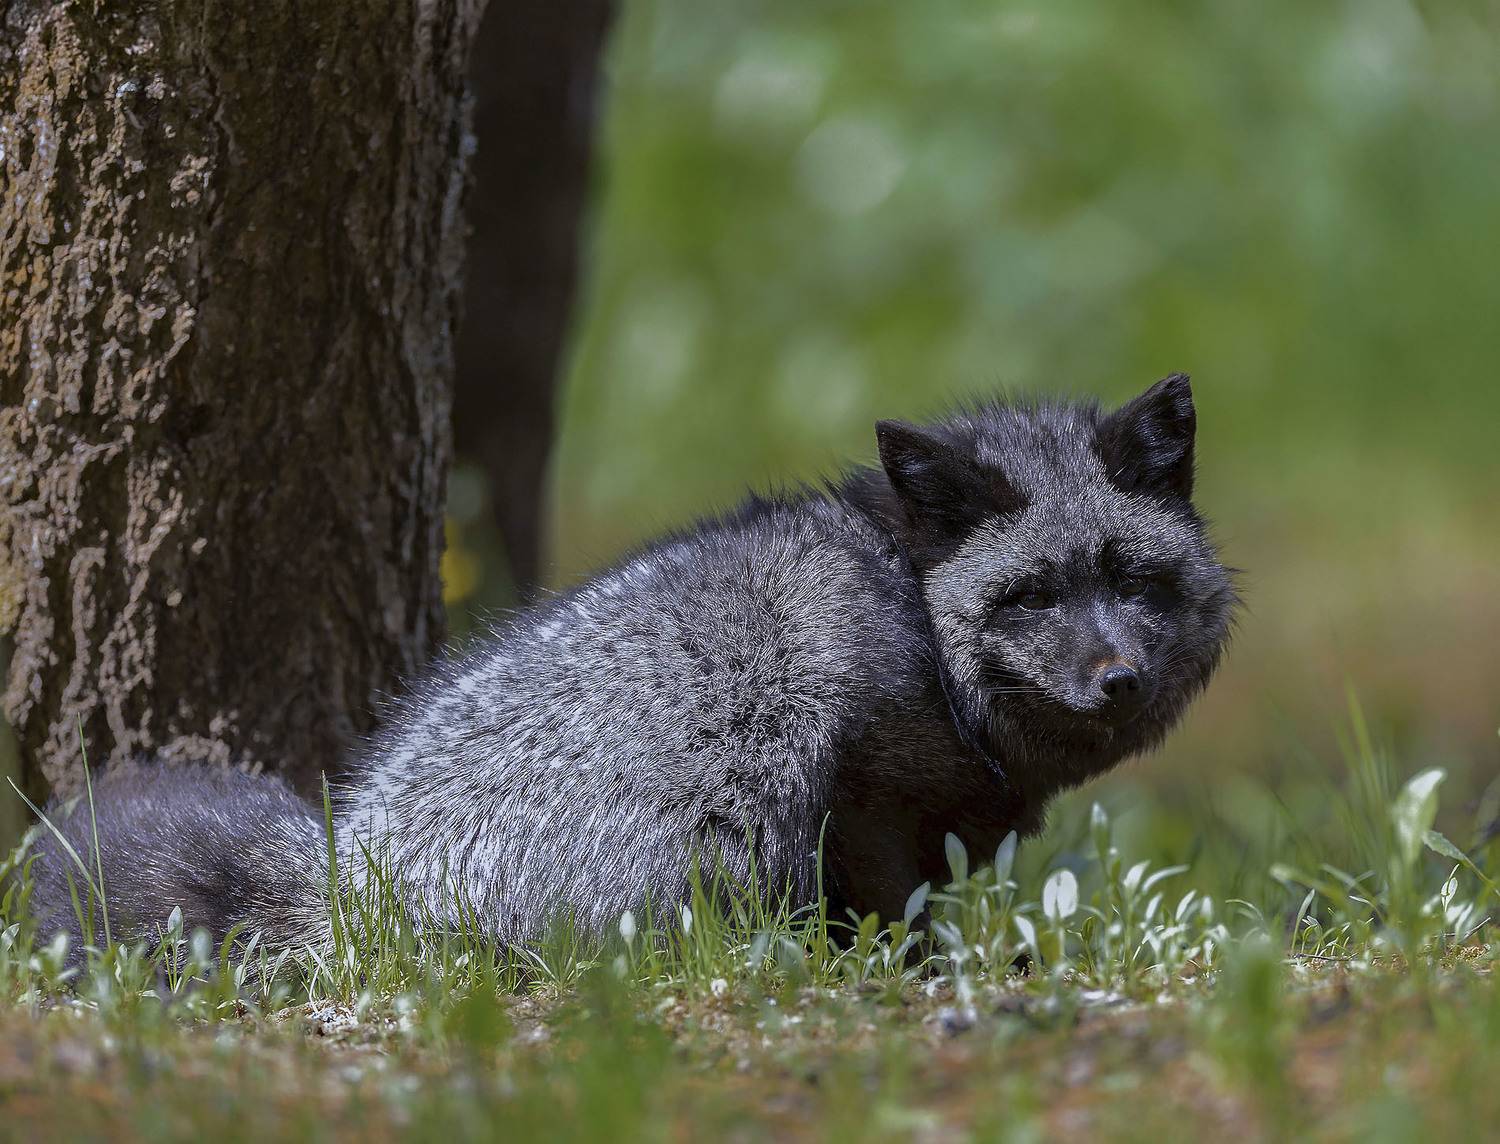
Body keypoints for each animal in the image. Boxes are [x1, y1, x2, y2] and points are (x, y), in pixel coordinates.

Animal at [29, 374, 1236, 955]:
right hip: (731, 826)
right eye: (1030, 596)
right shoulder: (862, 802)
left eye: (1132, 578)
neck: (912, 615)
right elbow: (897, 928)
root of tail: (351, 869)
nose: (1118, 678)